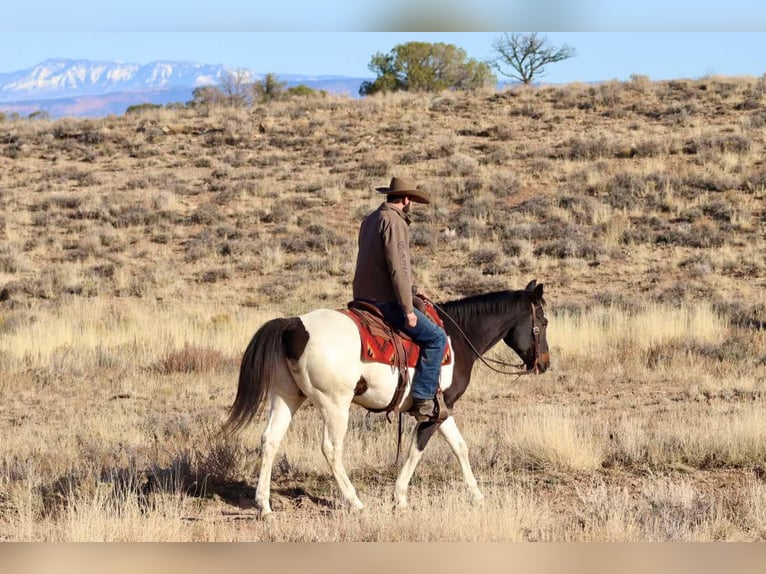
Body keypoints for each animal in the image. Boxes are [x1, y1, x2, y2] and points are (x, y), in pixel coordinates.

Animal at [226, 279, 550, 518]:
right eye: (544, 322)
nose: (545, 364)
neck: (458, 338)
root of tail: (294, 324)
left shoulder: (444, 409)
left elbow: (460, 447)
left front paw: (477, 495)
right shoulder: (432, 411)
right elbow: (416, 450)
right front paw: (400, 497)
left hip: (287, 397)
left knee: (270, 440)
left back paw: (265, 507)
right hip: (335, 405)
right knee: (331, 449)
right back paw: (354, 502)